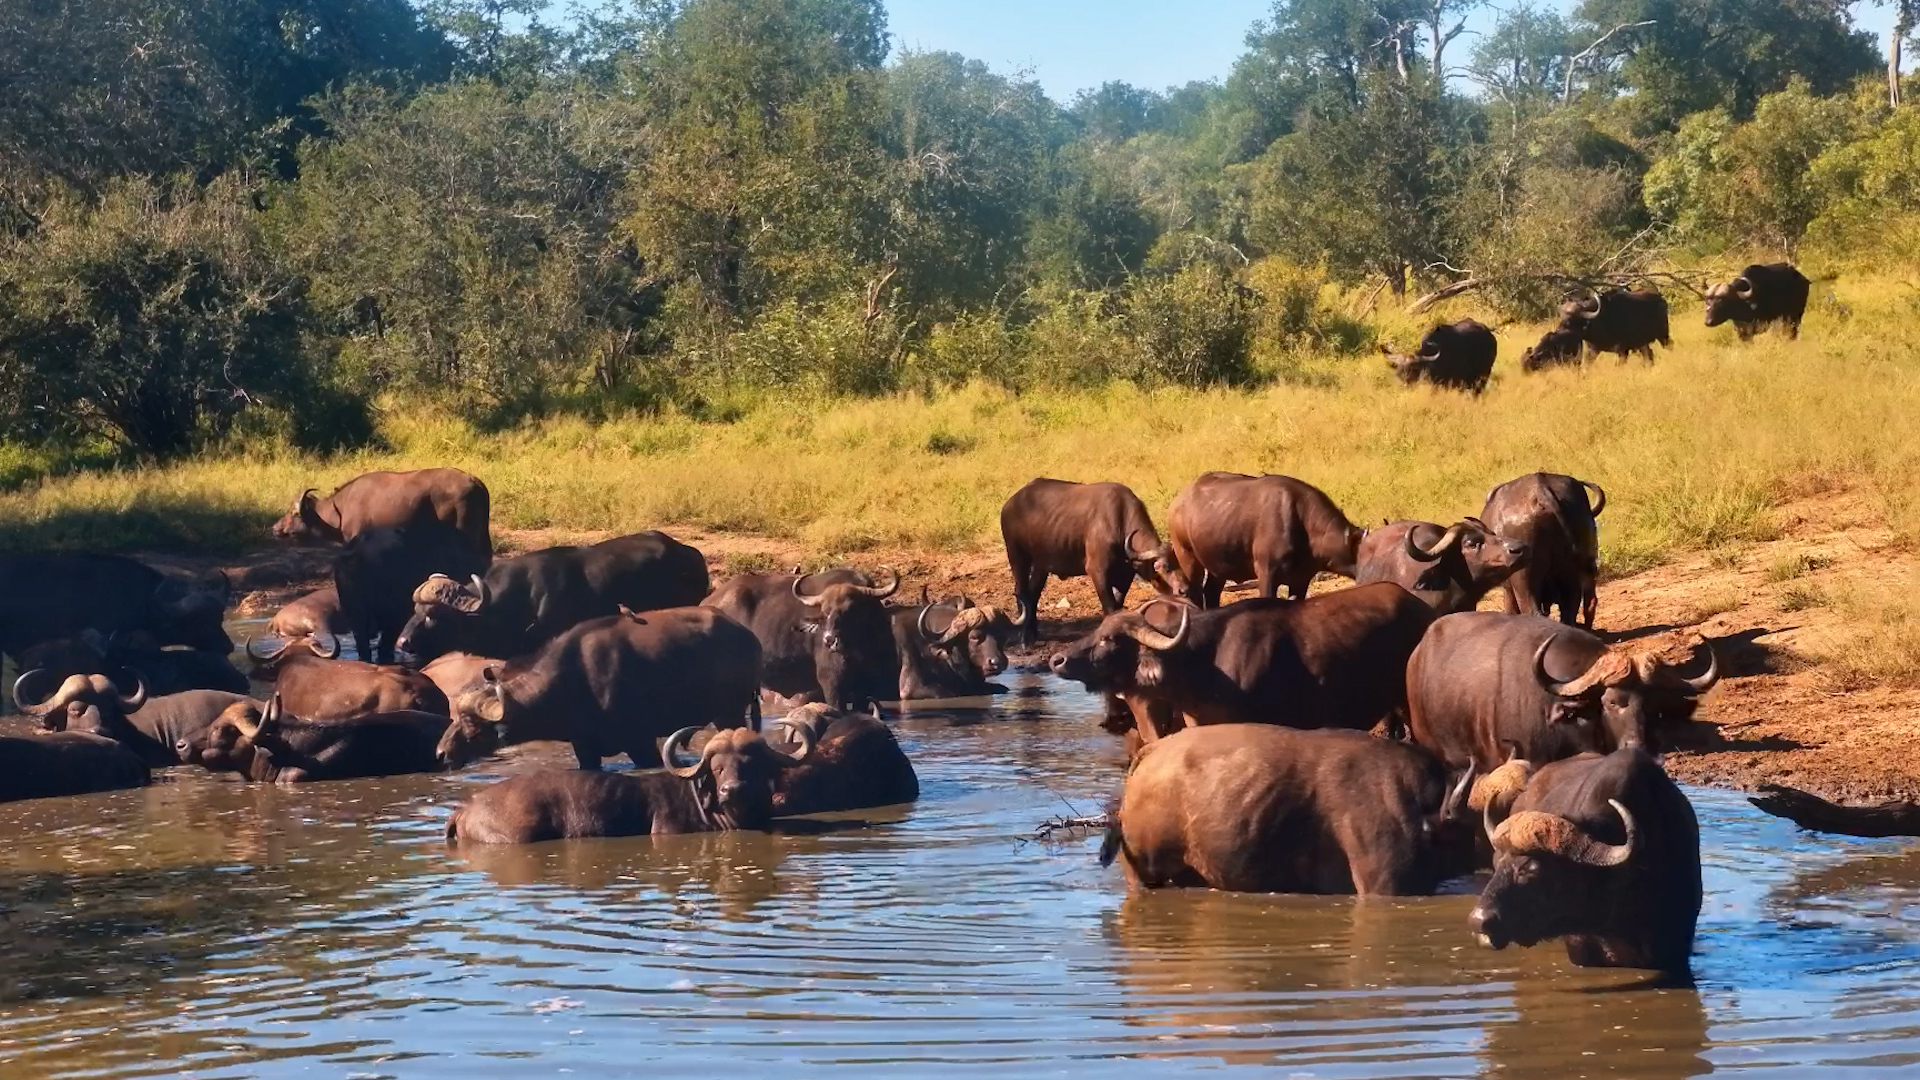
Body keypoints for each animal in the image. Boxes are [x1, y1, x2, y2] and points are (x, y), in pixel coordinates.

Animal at [436, 606, 762, 770]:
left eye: (470, 722)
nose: (440, 753)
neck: (572, 682)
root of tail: (748, 637)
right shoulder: (585, 749)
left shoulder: (640, 742)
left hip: (729, 712)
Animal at [1000, 478, 1181, 642]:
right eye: (1161, 566)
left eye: (1178, 563)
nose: (1183, 590)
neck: (1119, 521)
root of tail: (1010, 504)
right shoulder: (1097, 570)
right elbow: (1110, 607)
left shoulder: (1125, 577)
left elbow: (1118, 605)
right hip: (1017, 556)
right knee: (1022, 591)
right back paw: (1025, 636)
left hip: (1041, 565)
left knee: (1033, 594)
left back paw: (1033, 632)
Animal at [1167, 472, 1364, 606]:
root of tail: (1177, 502)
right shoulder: (1266, 573)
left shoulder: (1301, 580)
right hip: (1187, 557)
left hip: (1218, 566)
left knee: (1211, 593)